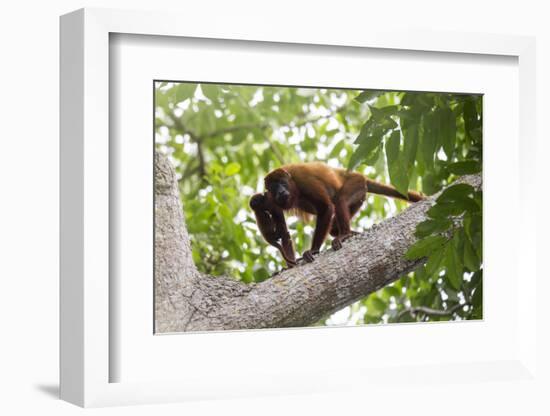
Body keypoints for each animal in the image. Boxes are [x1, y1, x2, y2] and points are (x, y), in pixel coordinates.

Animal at [264, 163, 426, 264]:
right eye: (273, 187)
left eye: (282, 183)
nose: (280, 191)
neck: (293, 185)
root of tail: (359, 175)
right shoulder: (271, 199)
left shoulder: (303, 180)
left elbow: (326, 208)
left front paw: (314, 250)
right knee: (333, 227)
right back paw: (350, 233)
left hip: (356, 182)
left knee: (340, 199)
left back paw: (345, 234)